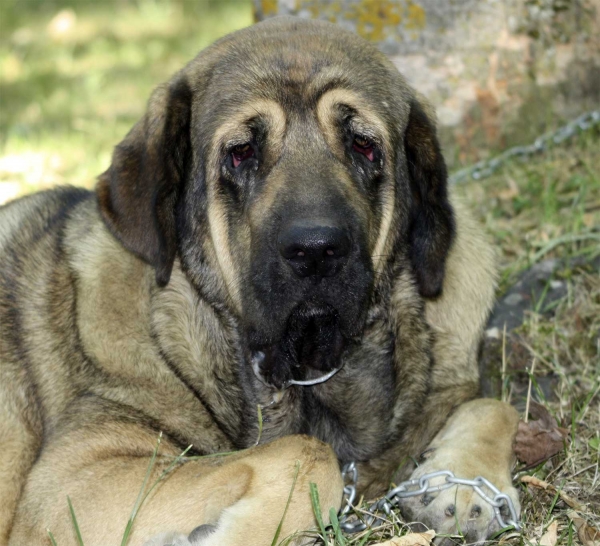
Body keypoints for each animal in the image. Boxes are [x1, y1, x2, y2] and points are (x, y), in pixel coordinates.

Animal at [0, 15, 516, 544]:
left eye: (363, 144)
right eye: (242, 152)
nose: (316, 250)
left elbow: (496, 405)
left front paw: (466, 486)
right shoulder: (73, 479)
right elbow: (309, 454)